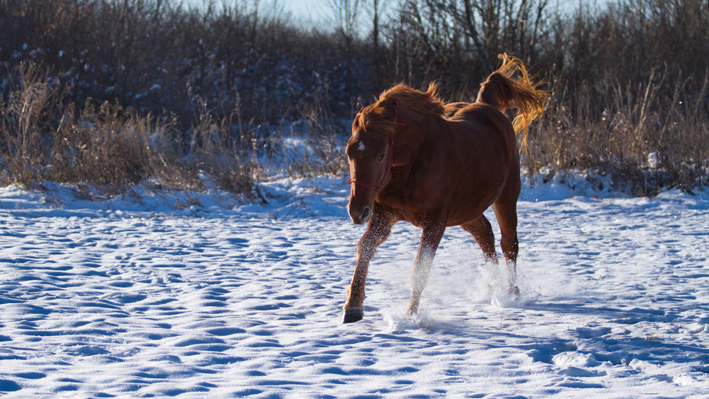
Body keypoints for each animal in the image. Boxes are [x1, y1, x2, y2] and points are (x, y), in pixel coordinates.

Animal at [342, 54, 548, 324]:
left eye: (381, 155)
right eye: (349, 152)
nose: (357, 211)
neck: (415, 161)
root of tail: (488, 108)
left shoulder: (435, 221)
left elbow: (420, 269)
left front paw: (410, 315)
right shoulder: (385, 214)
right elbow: (364, 248)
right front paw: (353, 306)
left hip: (505, 198)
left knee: (509, 244)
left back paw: (512, 294)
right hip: (467, 211)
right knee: (486, 236)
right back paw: (491, 288)